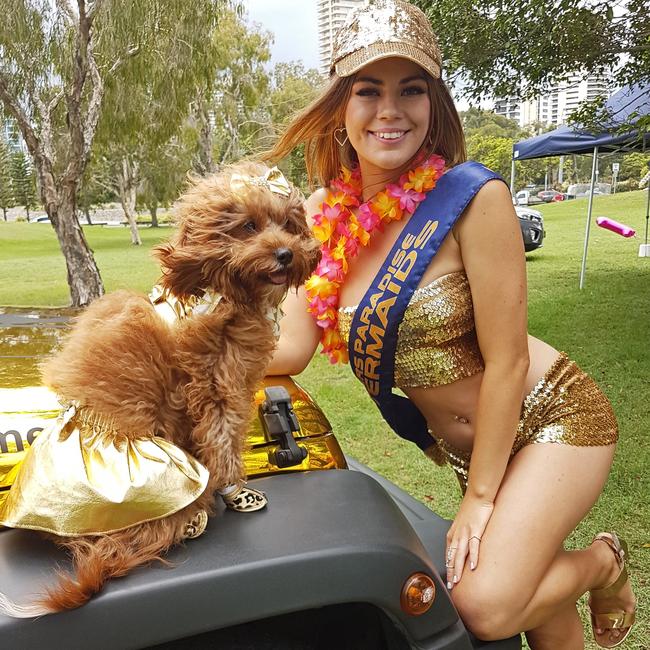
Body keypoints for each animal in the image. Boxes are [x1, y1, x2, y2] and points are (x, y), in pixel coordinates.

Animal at [0, 162, 318, 612]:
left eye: (289, 225)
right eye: (248, 226)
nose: (286, 253)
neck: (222, 288)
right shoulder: (217, 384)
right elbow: (224, 443)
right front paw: (236, 491)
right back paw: (192, 519)